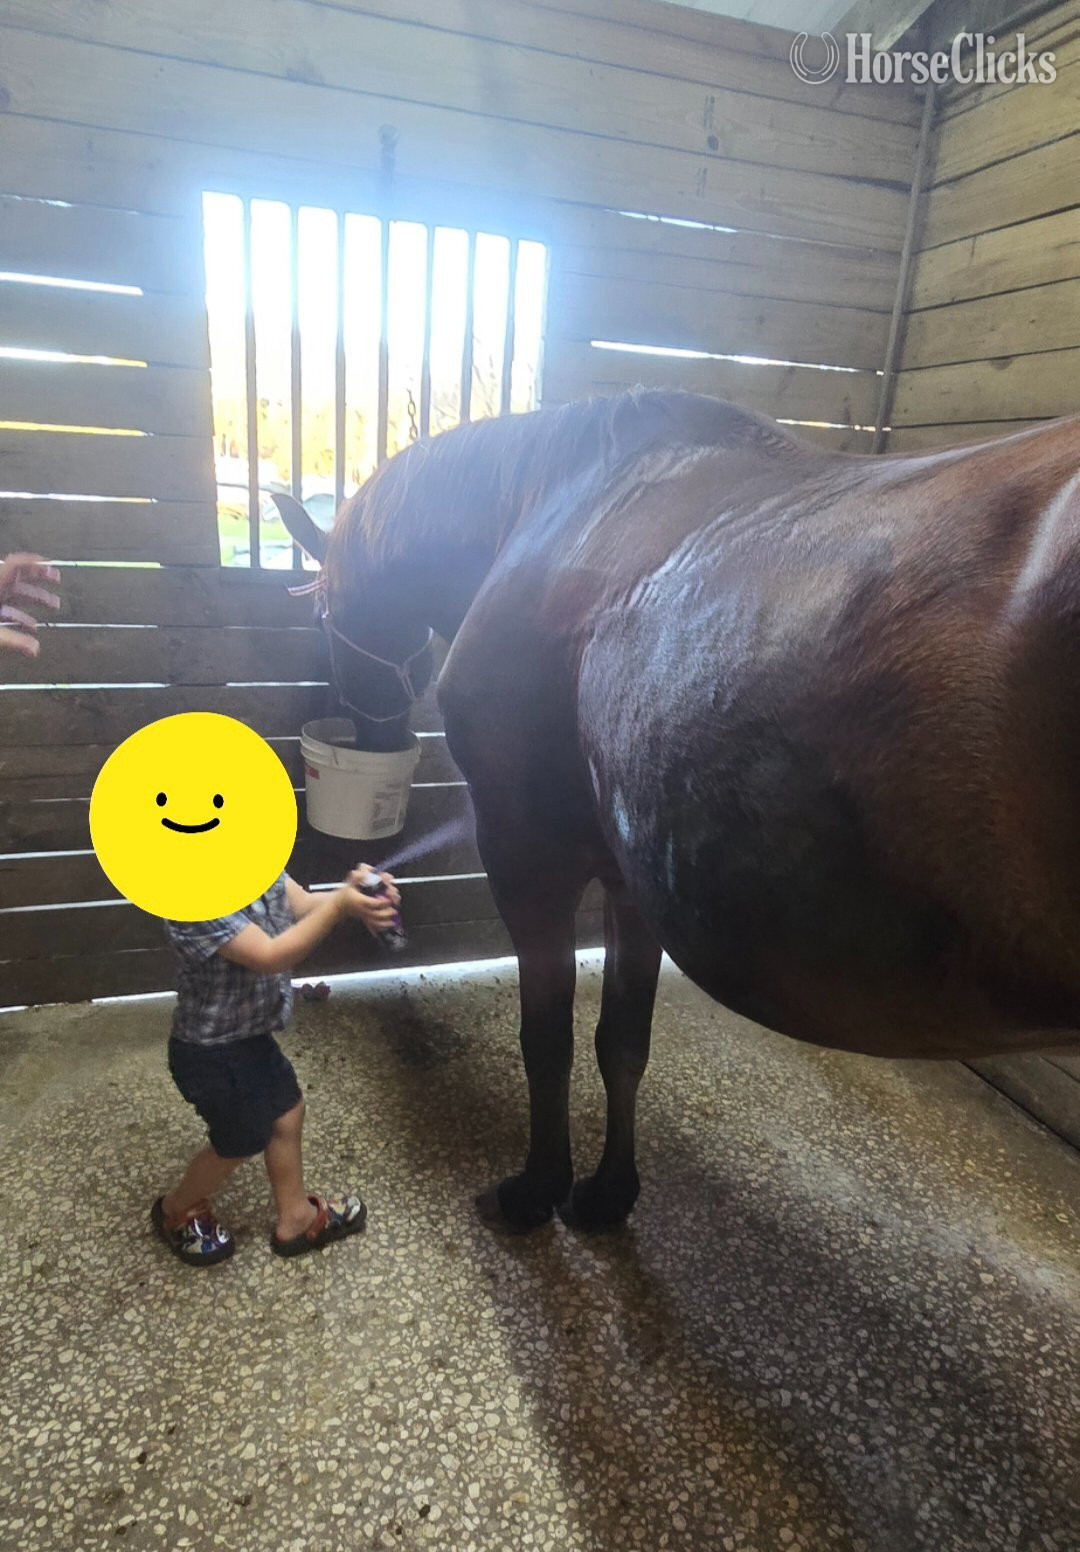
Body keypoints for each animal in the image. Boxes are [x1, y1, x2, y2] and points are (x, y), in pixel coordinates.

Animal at [273, 389, 1080, 1235]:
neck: (552, 500)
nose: (377, 736)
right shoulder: (633, 884)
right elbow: (622, 1040)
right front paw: (606, 1193)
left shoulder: (529, 862)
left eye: (324, 617)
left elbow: (548, 1036)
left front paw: (538, 1187)